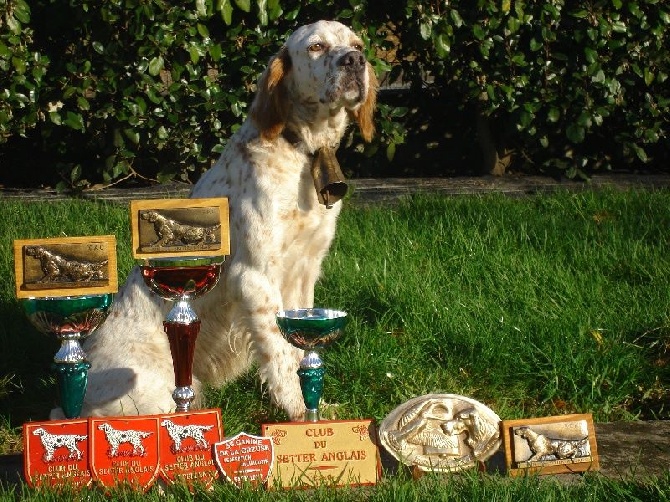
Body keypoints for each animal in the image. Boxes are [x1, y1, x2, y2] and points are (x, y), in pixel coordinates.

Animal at [51, 19, 376, 420]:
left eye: (357, 44)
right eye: (316, 47)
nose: (355, 61)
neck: (302, 150)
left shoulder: (304, 273)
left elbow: (300, 349)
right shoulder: (255, 277)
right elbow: (281, 356)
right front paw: (300, 414)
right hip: (150, 391)